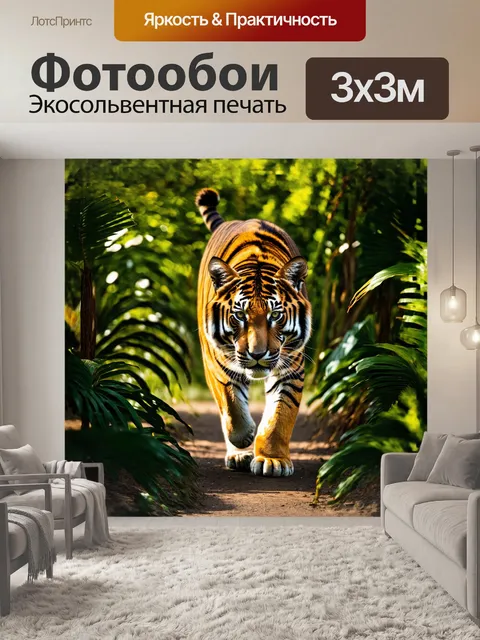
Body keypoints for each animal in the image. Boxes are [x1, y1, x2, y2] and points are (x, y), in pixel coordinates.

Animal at [196, 188, 311, 477]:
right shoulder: (217, 362)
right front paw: (244, 436)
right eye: (240, 315)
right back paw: (238, 454)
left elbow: (280, 415)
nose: (257, 354)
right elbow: (231, 405)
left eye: (275, 316)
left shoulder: (292, 367)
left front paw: (272, 460)